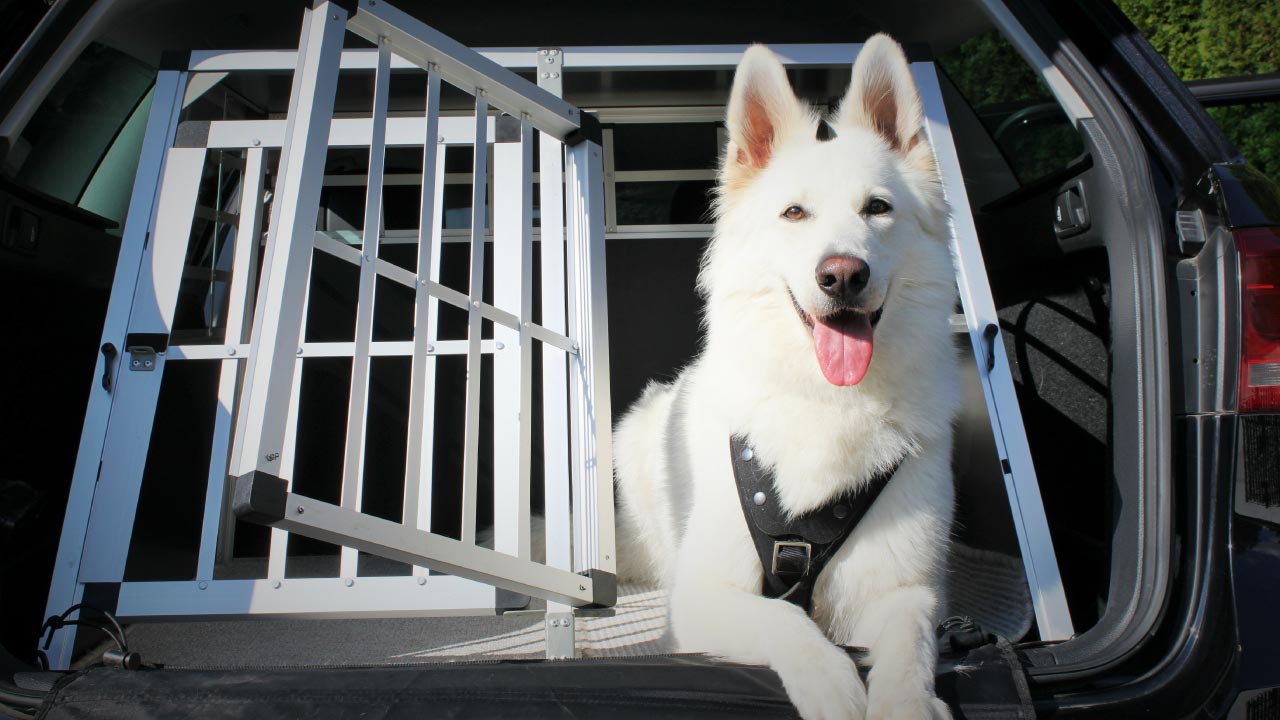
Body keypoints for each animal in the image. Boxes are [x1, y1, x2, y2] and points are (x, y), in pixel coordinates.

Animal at [609, 33, 962, 717]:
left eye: (878, 208)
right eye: (794, 213)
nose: (843, 275)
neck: (826, 401)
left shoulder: (907, 591)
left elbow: (910, 650)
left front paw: (905, 702)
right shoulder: (702, 597)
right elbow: (786, 619)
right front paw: (831, 684)